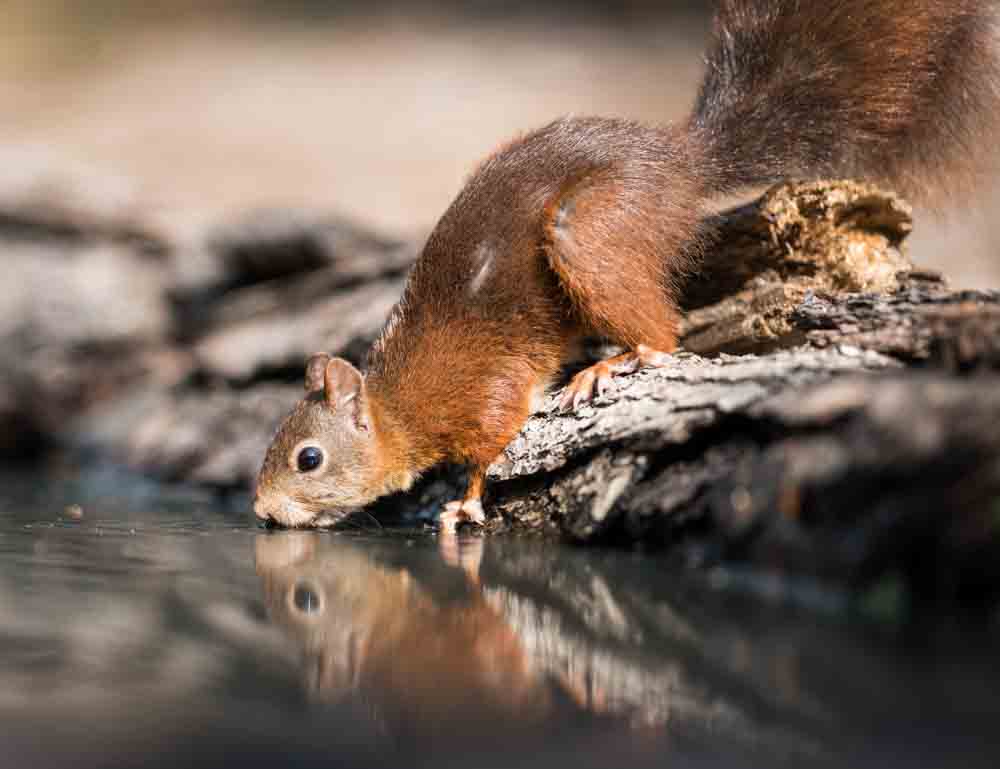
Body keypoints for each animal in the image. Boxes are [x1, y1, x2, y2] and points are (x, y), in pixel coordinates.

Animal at [254, 0, 1000, 528]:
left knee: (663, 335)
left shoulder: (481, 390)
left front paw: (464, 501)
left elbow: (493, 443)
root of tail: (683, 164)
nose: (261, 509)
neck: (401, 403)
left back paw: (610, 364)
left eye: (308, 459)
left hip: (587, 232)